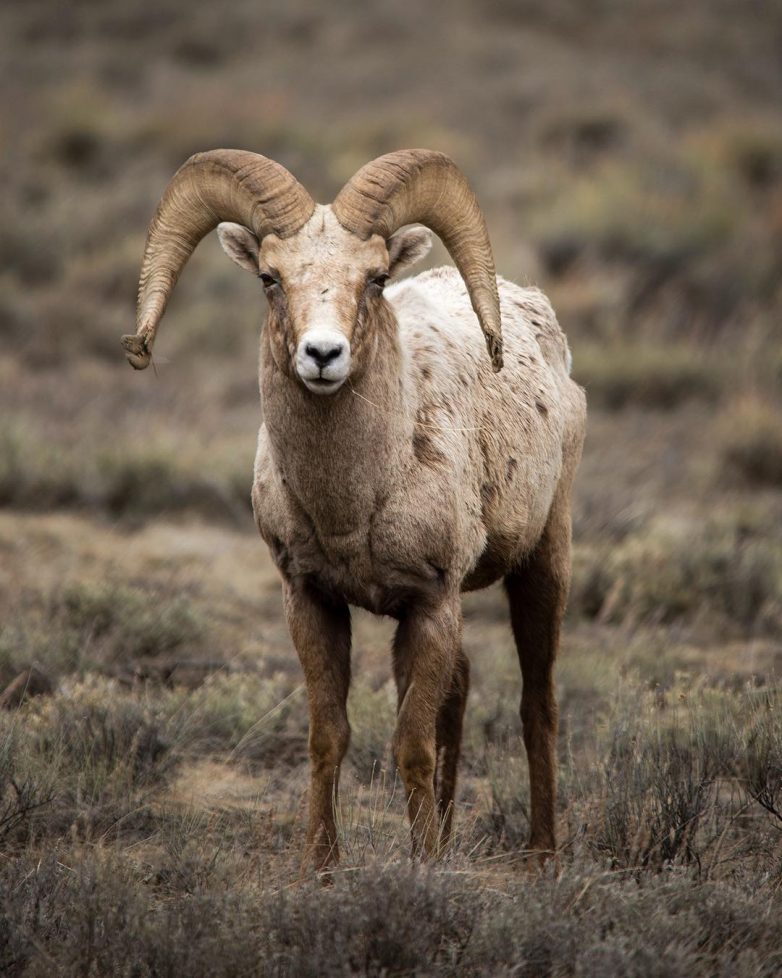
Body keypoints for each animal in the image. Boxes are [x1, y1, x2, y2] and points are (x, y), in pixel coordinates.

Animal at [122, 151, 588, 868]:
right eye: (270, 277)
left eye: (374, 279)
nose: (322, 355)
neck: (353, 504)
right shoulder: (314, 601)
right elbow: (329, 736)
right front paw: (322, 863)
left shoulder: (431, 604)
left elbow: (411, 744)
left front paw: (424, 866)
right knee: (460, 693)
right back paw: (452, 833)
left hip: (543, 564)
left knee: (537, 705)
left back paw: (541, 854)